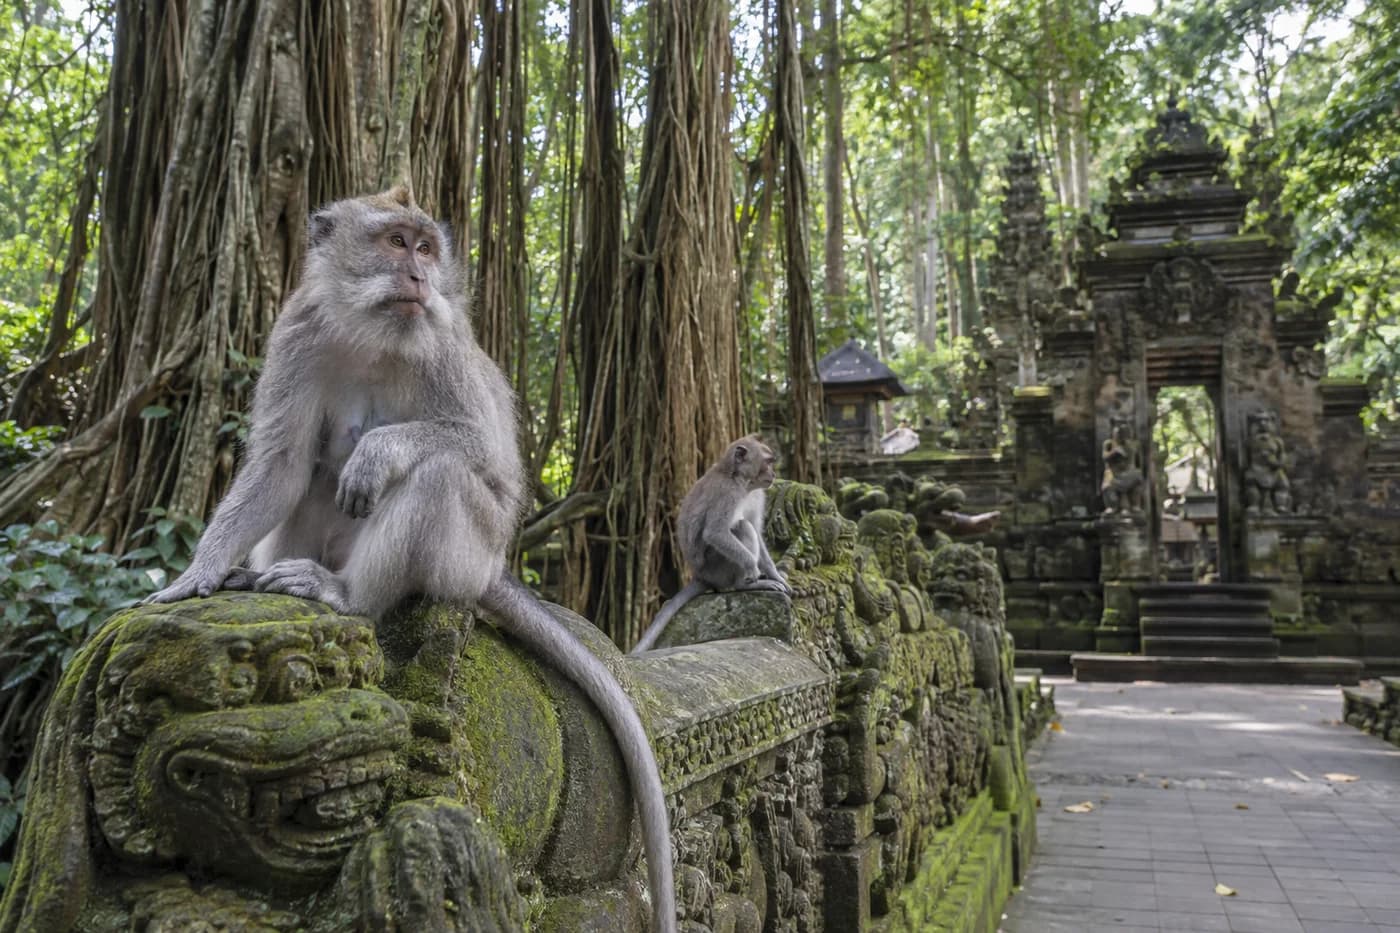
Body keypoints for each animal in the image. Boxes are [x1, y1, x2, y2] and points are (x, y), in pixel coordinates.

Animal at [147, 188, 676, 933]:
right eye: (396, 242)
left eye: (426, 248)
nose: (421, 275)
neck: (376, 333)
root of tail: (493, 570)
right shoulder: (297, 333)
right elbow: (282, 463)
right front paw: (201, 571)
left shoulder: (444, 344)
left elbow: (485, 457)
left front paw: (380, 451)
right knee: (316, 478)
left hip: (466, 556)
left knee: (441, 475)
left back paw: (346, 594)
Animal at [630, 435, 790, 654]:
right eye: (767, 462)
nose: (773, 474)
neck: (740, 481)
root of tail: (700, 576)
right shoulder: (727, 494)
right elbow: (715, 532)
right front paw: (752, 568)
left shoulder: (758, 495)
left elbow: (757, 531)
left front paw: (775, 574)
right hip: (717, 569)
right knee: (741, 527)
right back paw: (746, 584)